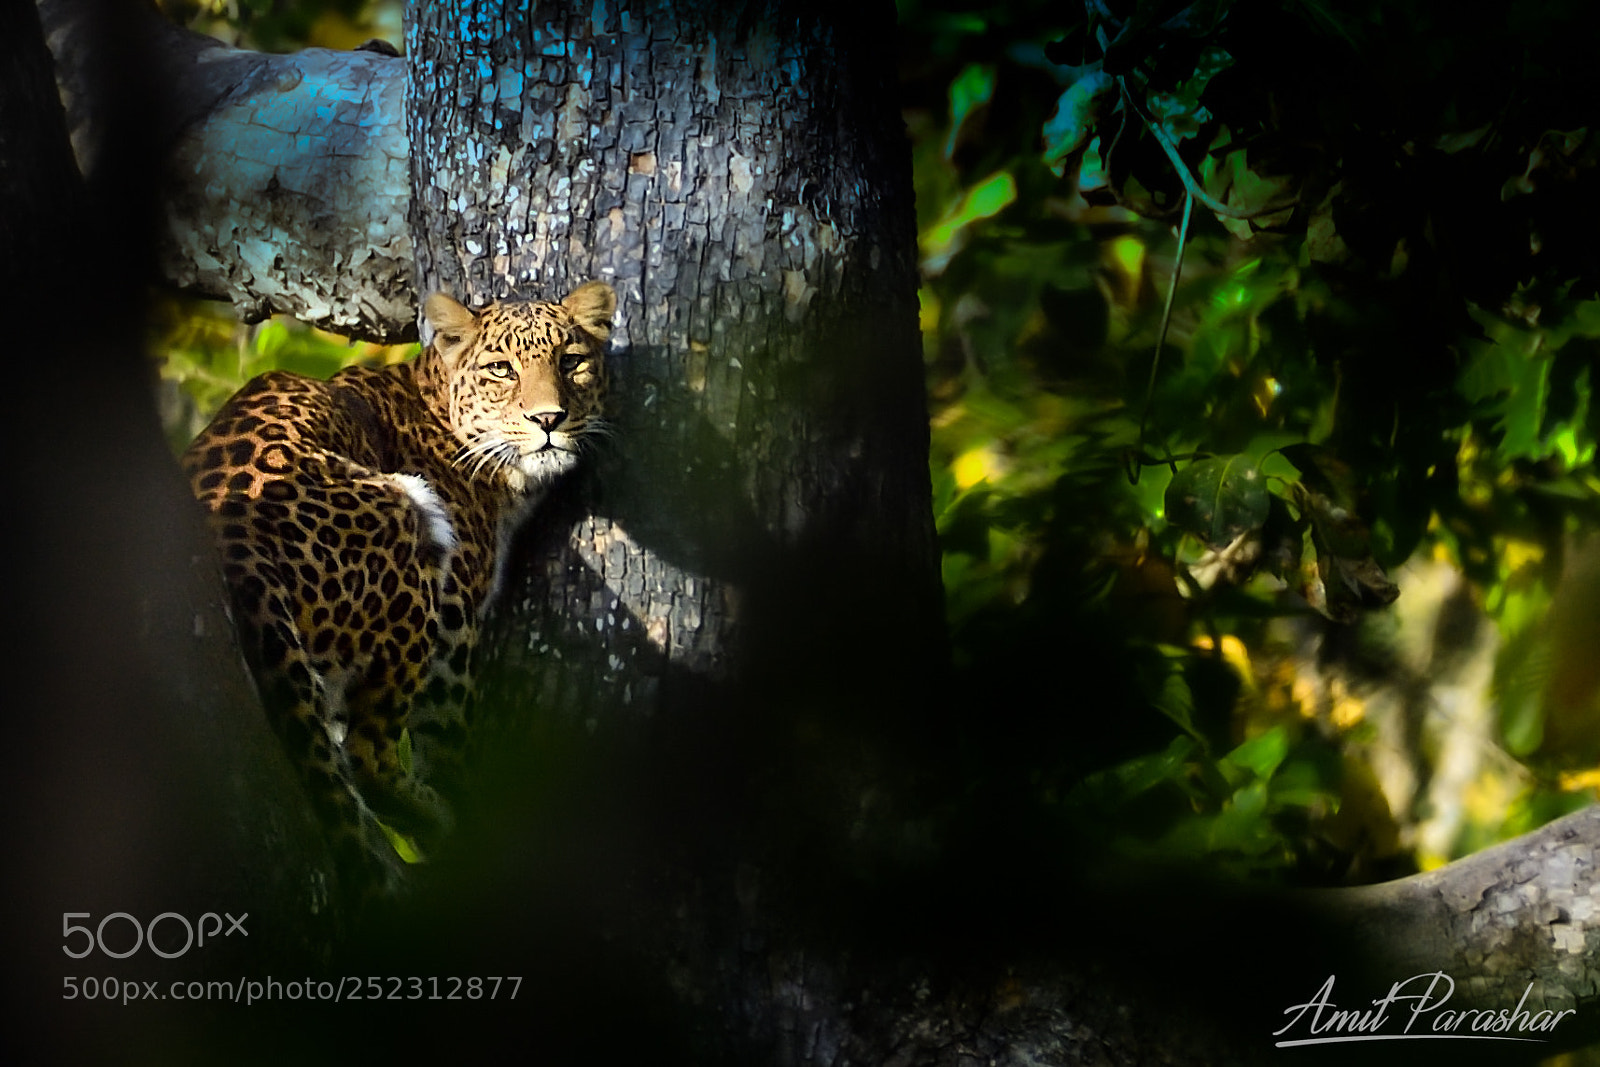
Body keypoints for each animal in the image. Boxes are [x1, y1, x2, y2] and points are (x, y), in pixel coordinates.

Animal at [182, 280, 616, 889]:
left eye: (572, 362)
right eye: (501, 369)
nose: (549, 419)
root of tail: (231, 533)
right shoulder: (457, 614)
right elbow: (447, 731)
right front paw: (469, 804)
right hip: (410, 517)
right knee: (369, 752)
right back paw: (437, 819)